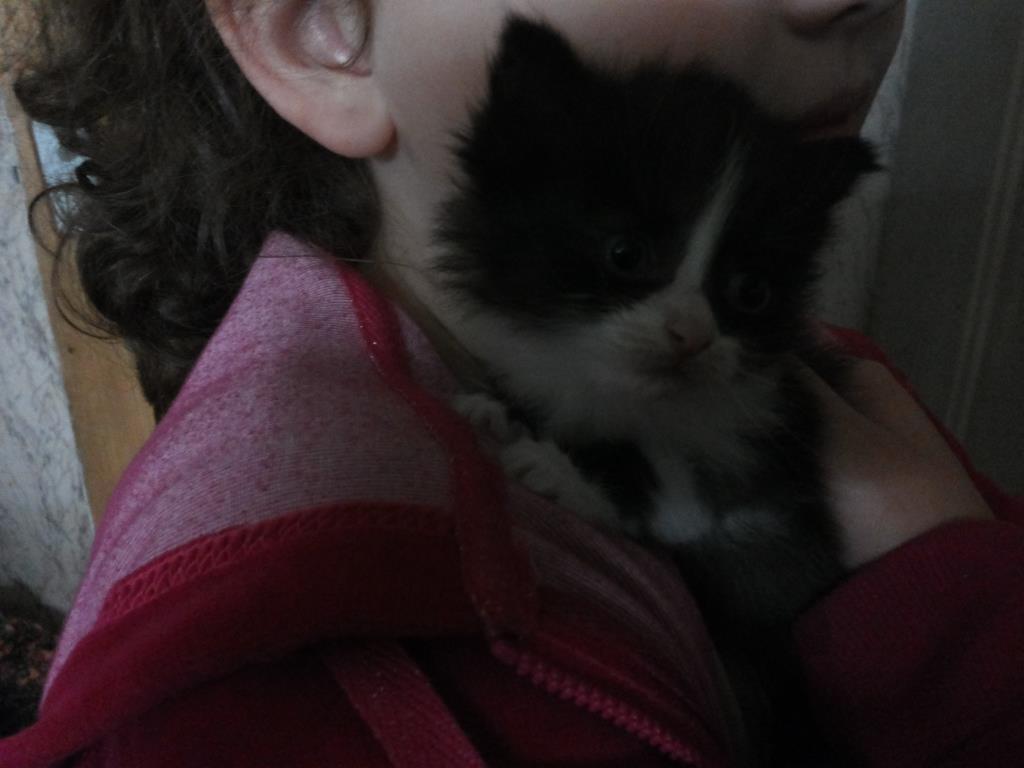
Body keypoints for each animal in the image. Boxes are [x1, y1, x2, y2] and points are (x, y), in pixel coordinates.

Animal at [432, 17, 877, 766]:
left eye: (750, 292)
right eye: (625, 254)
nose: (691, 335)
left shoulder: (773, 511)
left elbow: (683, 515)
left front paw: (559, 471)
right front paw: (502, 413)